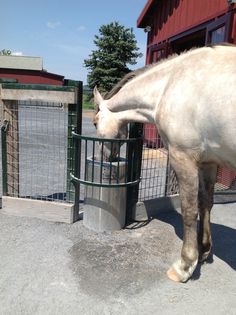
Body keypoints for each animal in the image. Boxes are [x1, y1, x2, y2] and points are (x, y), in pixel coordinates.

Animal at [92, 45, 236, 284]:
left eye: (95, 122)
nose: (105, 158)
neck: (169, 84)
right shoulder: (208, 162)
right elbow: (206, 204)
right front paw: (204, 250)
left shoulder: (183, 158)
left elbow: (189, 209)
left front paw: (185, 265)